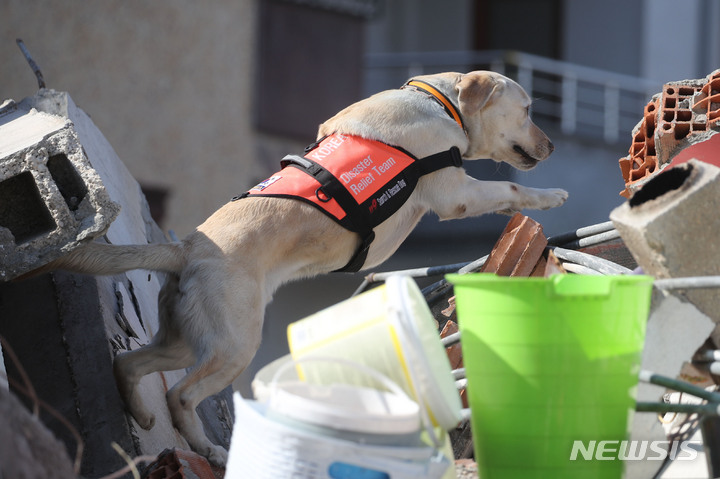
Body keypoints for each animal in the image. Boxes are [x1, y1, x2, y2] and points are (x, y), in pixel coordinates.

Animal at [38, 71, 568, 464]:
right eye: (527, 110)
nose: (552, 147)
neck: (441, 102)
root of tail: (187, 248)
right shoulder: (456, 193)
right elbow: (511, 189)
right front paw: (550, 196)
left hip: (187, 340)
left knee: (129, 362)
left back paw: (145, 419)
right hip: (234, 345)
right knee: (182, 396)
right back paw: (207, 449)